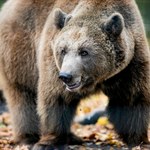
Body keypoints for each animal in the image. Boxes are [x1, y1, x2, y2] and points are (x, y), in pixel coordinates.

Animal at [0, 0, 150, 149]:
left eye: (84, 51)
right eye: (63, 50)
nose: (66, 76)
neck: (99, 78)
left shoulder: (130, 66)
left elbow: (132, 98)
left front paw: (138, 139)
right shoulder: (53, 63)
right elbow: (56, 97)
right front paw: (49, 141)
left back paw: (72, 137)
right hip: (20, 53)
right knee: (23, 96)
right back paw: (29, 138)